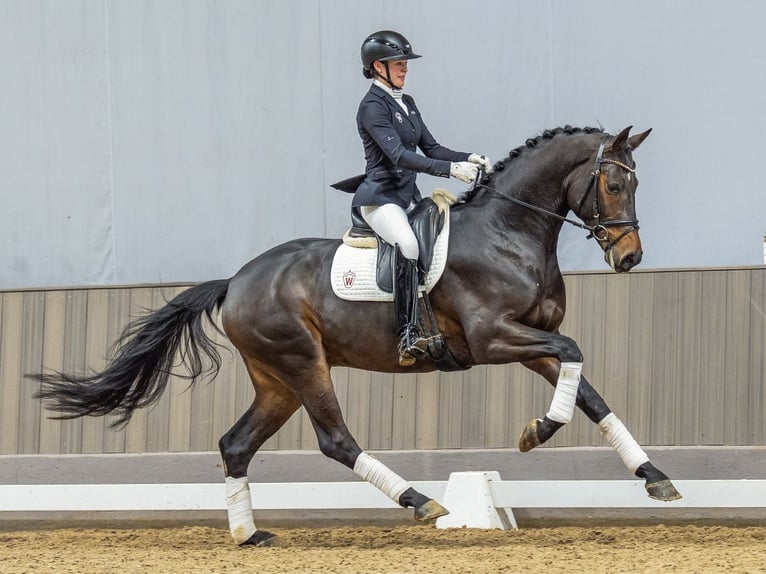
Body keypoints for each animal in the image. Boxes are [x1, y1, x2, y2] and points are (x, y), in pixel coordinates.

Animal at [31, 125, 682, 547]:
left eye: (635, 184)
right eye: (614, 186)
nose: (629, 257)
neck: (510, 231)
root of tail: (236, 281)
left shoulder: (534, 338)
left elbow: (590, 394)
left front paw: (656, 479)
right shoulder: (493, 338)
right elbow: (575, 361)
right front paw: (536, 432)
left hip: (277, 380)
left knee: (236, 445)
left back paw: (249, 536)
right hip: (303, 363)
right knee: (335, 440)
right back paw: (421, 501)